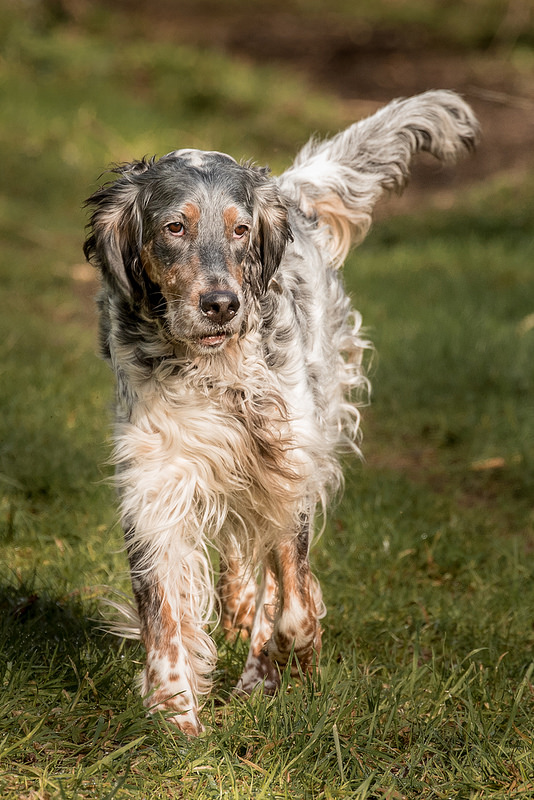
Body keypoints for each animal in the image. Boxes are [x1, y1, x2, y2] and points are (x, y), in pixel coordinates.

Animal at [85, 90, 482, 736]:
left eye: (241, 229)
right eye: (174, 227)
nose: (221, 304)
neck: (213, 370)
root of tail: (289, 189)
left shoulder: (287, 469)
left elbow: (294, 606)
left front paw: (279, 667)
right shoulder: (156, 483)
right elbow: (164, 614)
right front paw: (175, 717)